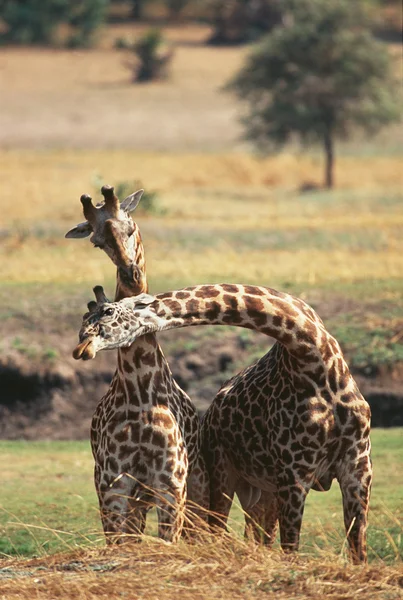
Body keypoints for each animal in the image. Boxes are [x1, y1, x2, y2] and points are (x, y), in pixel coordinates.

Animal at [64, 188, 210, 544]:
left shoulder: (171, 486)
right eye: (97, 241)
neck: (141, 393)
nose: (132, 274)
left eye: (130, 228)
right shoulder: (113, 487)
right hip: (130, 498)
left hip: (184, 488)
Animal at [72, 282, 372, 564]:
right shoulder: (295, 471)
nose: (81, 347)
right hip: (225, 477)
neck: (313, 356)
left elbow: (358, 548)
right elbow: (292, 546)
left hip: (261, 489)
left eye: (108, 312)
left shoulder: (357, 465)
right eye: (84, 318)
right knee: (219, 529)